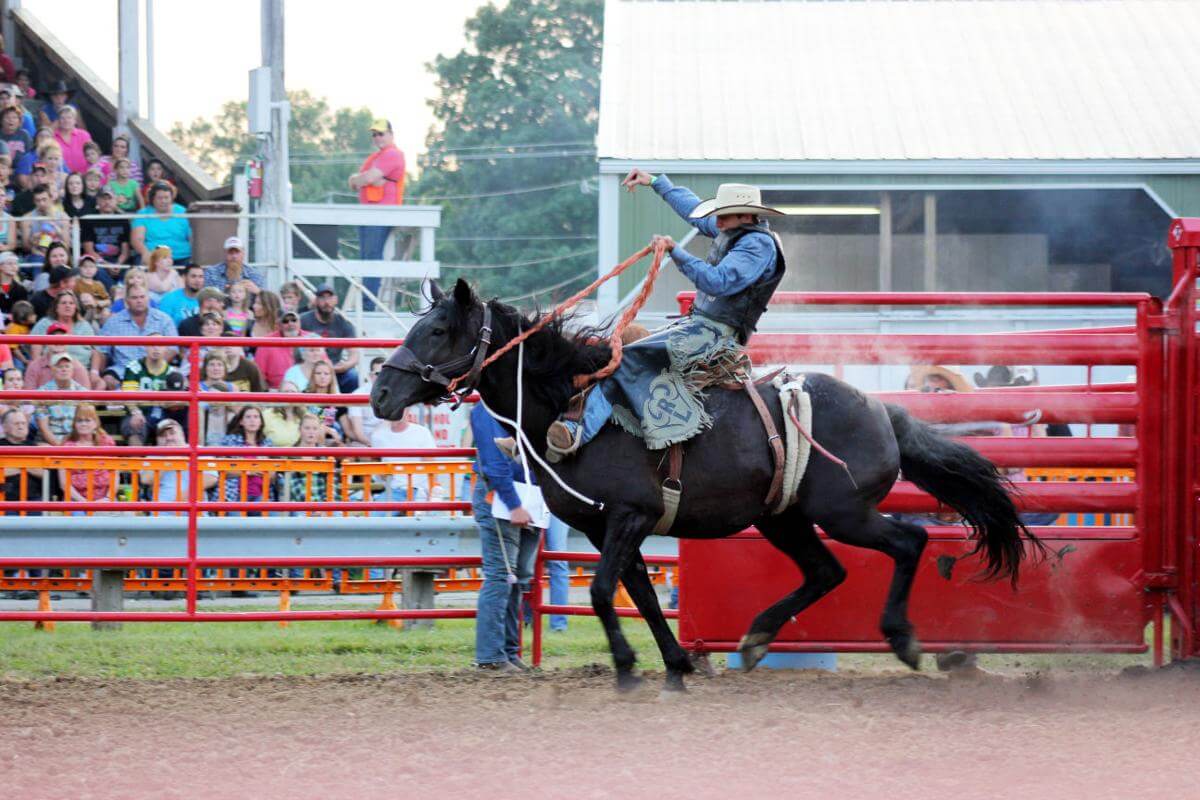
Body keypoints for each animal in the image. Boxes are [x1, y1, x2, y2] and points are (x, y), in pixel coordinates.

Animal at [374, 283, 1041, 695]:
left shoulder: (630, 516)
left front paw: (628, 670)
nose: (380, 393)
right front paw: (671, 666)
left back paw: (901, 639)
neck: (571, 404)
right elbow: (639, 594)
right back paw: (756, 638)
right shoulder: (605, 526)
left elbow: (602, 592)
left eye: (438, 330)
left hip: (843, 512)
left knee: (906, 542)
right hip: (783, 518)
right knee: (826, 571)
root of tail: (885, 411)